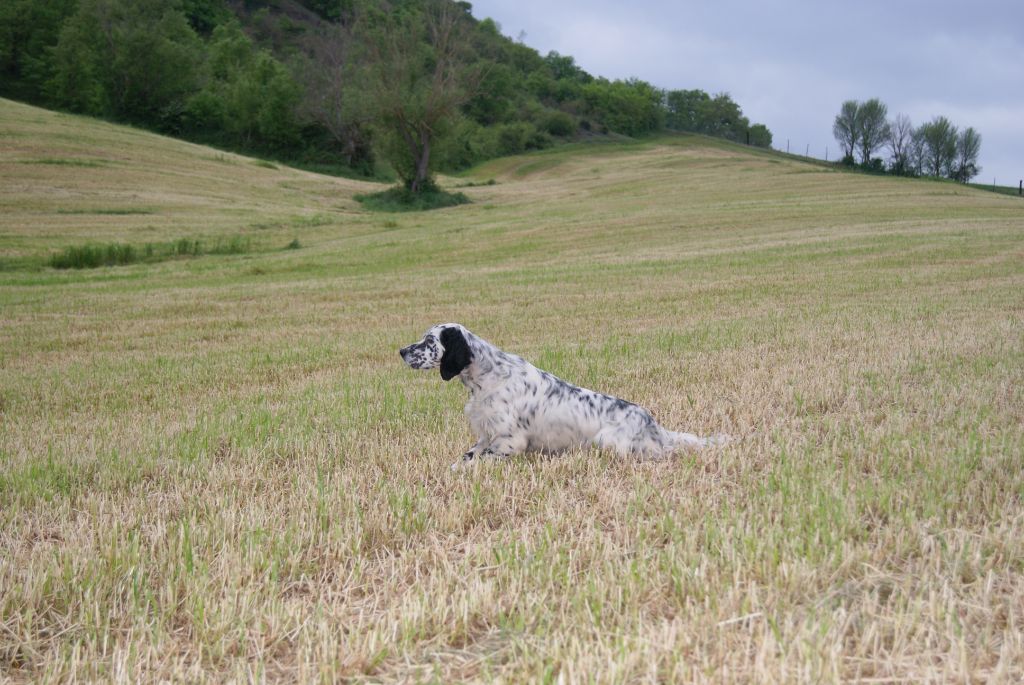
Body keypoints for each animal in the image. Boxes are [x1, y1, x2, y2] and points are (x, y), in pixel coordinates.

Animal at [395, 323, 724, 466]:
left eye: (429, 341)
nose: (401, 351)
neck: (488, 375)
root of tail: (654, 426)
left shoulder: (509, 441)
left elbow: (479, 461)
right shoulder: (485, 435)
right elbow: (463, 459)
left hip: (605, 440)